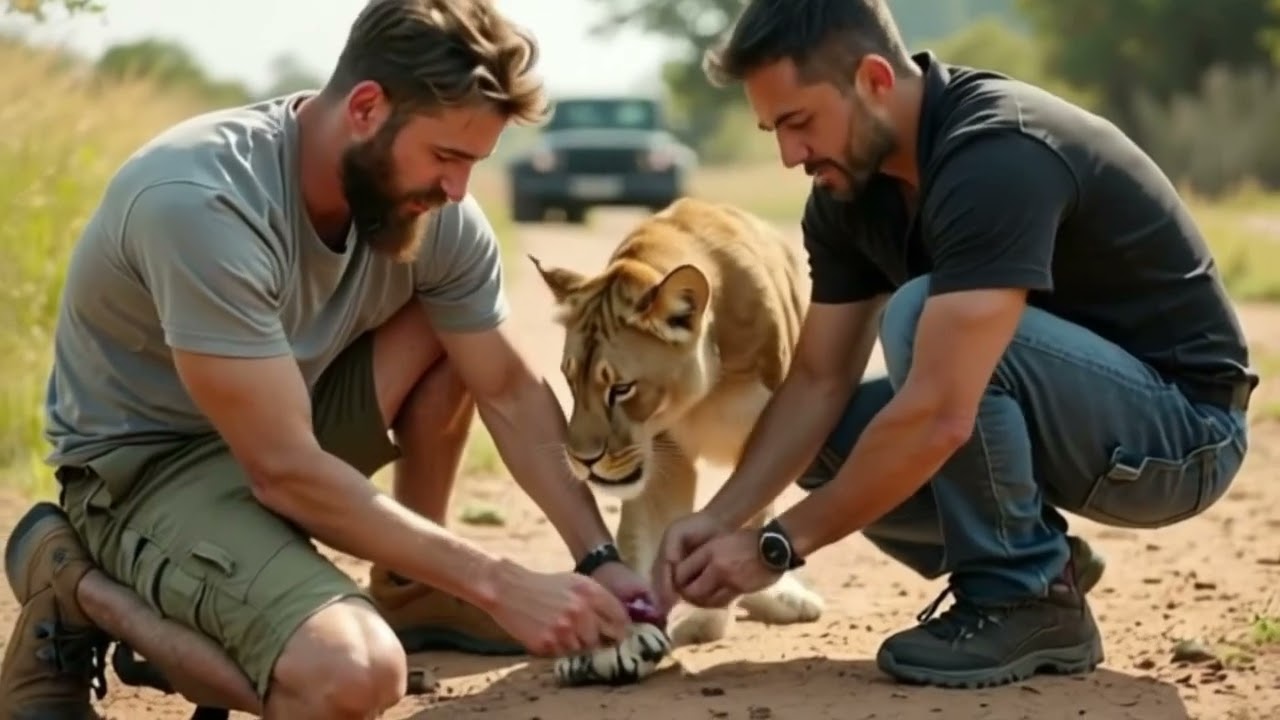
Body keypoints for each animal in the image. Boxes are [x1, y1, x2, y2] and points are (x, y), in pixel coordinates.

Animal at [530, 197, 826, 687]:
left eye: (621, 388)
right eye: (571, 380)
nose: (583, 460)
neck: (705, 389)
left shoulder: (768, 435)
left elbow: (739, 528)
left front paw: (707, 614)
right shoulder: (663, 459)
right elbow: (643, 542)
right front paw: (622, 639)